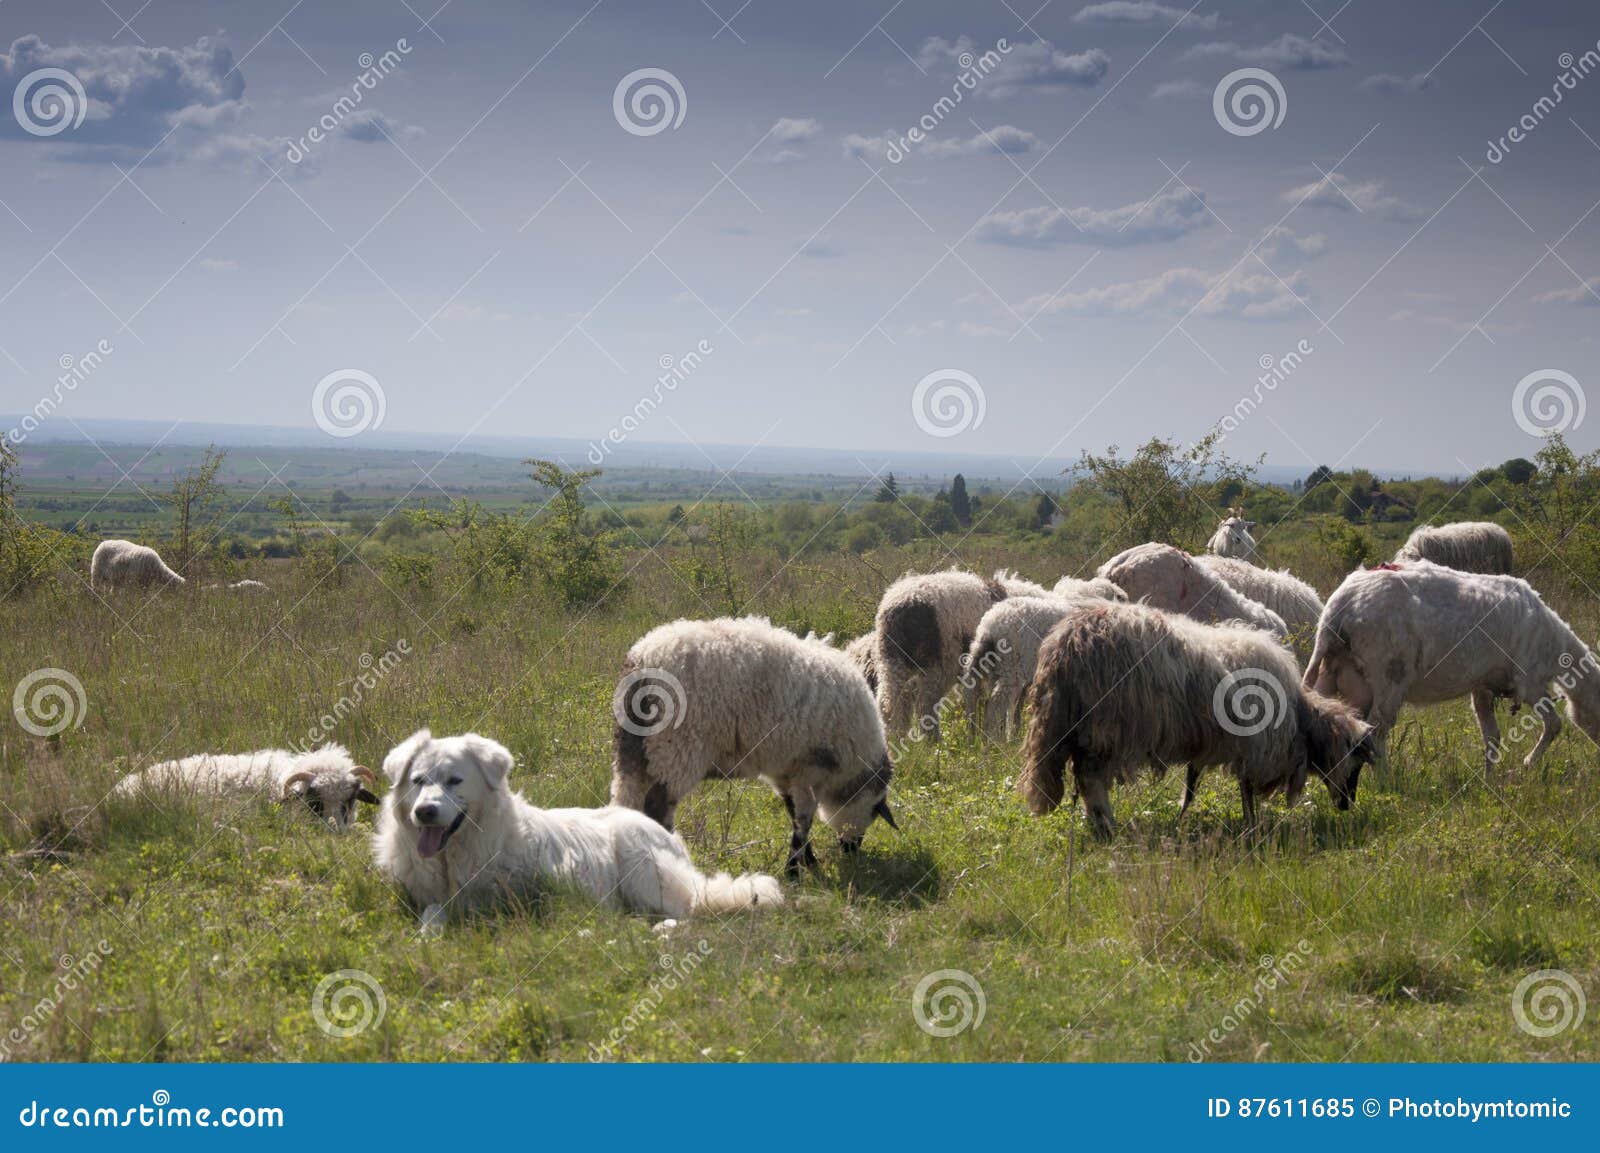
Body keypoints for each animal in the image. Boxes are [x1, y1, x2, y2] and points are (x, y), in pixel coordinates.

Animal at [610, 616, 897, 877]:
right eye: (873, 813)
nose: (852, 850)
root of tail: (643, 659)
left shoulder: (785, 770)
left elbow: (792, 812)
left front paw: (807, 860)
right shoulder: (811, 770)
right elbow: (804, 819)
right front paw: (794, 870)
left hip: (637, 752)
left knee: (628, 802)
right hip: (675, 749)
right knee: (657, 809)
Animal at [873, 567, 1047, 739]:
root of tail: (904, 602)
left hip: (892, 661)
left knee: (891, 702)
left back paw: (894, 737)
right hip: (938, 664)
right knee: (925, 703)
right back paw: (932, 740)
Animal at [1019, 601, 1374, 839]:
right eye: (1356, 762)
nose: (1347, 806)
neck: (1301, 720)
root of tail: (1066, 643)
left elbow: (1194, 785)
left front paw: (1183, 816)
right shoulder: (1257, 747)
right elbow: (1247, 788)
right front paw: (1252, 826)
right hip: (1107, 727)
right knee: (1090, 778)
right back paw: (1106, 825)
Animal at [1304, 559, 1600, 775]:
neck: (1556, 648)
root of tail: (1340, 609)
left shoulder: (1482, 687)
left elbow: (1492, 737)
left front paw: (1489, 780)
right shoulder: (1530, 682)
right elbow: (1554, 725)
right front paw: (1528, 763)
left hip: (1334, 671)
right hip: (1389, 674)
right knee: (1375, 731)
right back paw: (1385, 780)